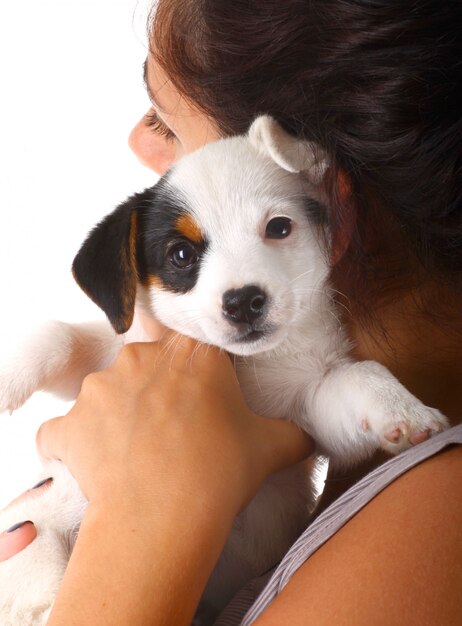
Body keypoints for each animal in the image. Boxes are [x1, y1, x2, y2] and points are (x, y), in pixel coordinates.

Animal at [0, 114, 450, 620]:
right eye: (181, 254)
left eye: (279, 227)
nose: (244, 302)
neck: (247, 365)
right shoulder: (116, 350)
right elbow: (60, 336)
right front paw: (7, 377)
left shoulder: (308, 412)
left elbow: (359, 375)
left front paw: (403, 410)